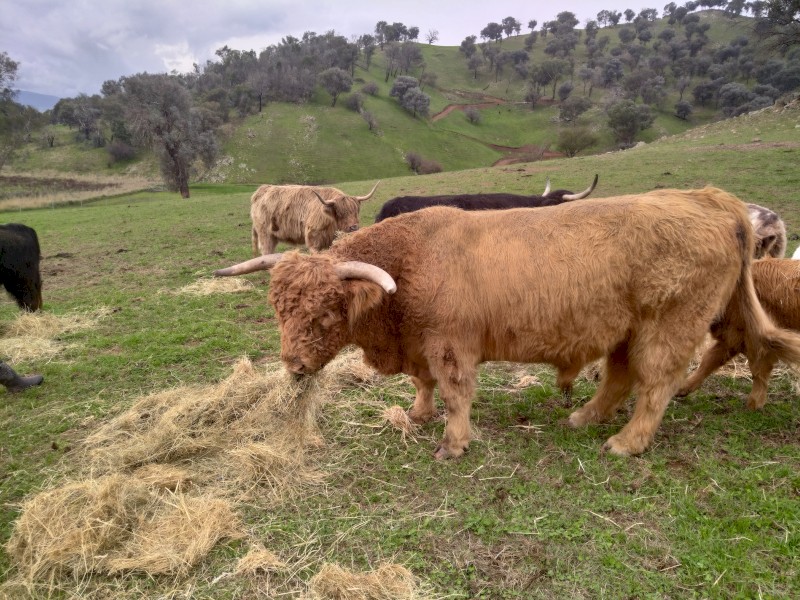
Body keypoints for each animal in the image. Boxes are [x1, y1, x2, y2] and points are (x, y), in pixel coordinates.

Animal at [250, 181, 380, 255]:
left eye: (356, 212)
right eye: (340, 213)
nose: (354, 227)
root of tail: (261, 190)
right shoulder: (313, 237)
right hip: (265, 234)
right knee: (266, 251)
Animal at [677, 258, 800, 408]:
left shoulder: (757, 341)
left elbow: (758, 371)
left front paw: (754, 404)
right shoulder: (733, 338)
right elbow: (709, 360)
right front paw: (683, 388)